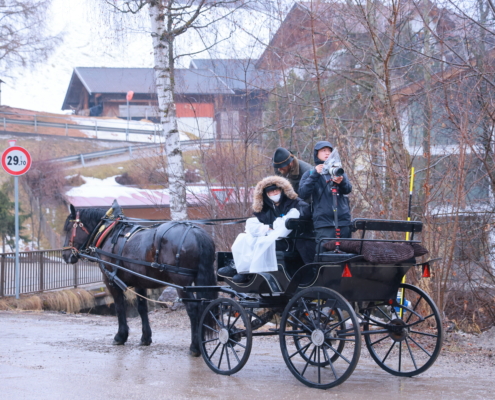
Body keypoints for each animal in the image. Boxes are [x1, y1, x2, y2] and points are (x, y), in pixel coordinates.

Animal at [62, 203, 217, 356]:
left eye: (68, 229)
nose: (65, 255)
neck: (108, 233)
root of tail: (196, 233)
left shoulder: (111, 281)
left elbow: (120, 307)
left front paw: (120, 336)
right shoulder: (140, 282)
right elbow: (142, 308)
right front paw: (145, 338)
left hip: (182, 284)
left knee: (193, 309)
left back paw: (195, 347)